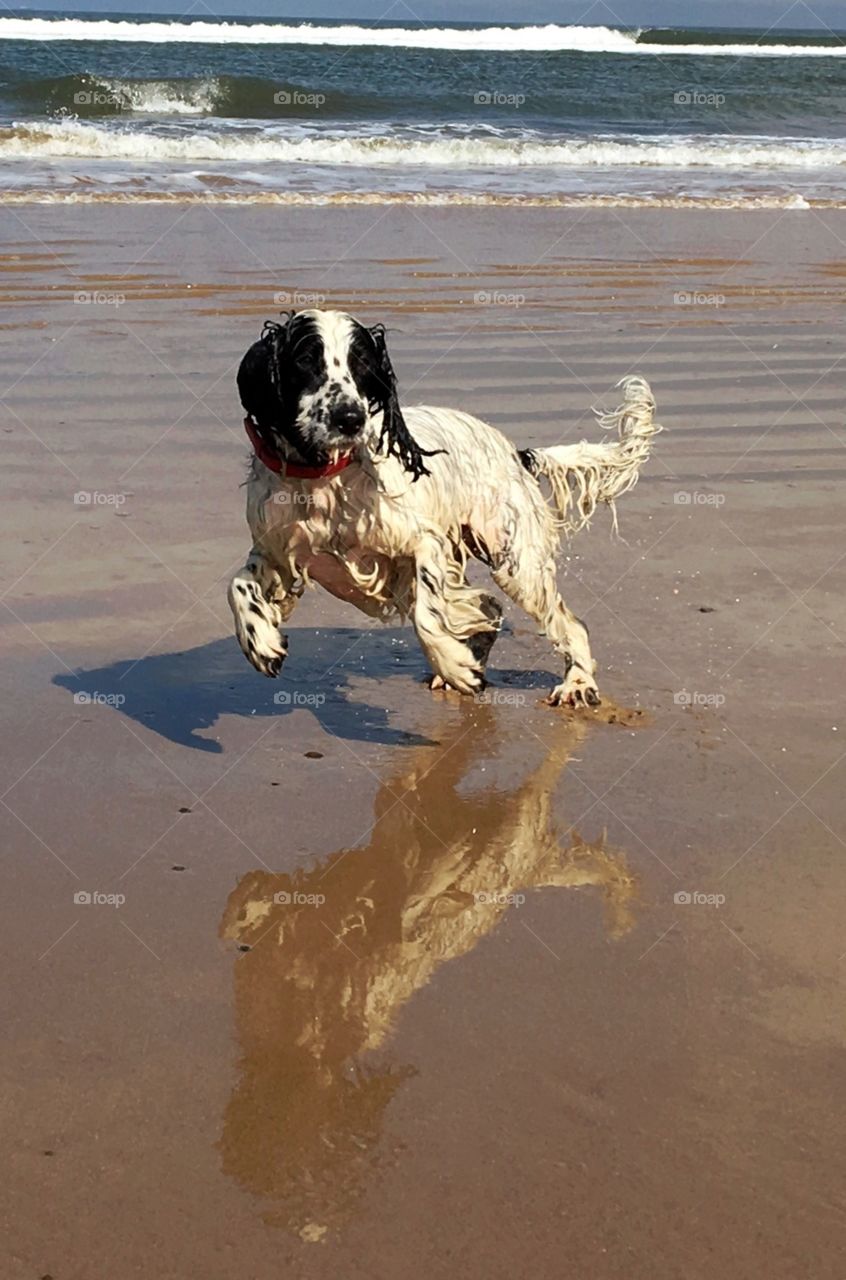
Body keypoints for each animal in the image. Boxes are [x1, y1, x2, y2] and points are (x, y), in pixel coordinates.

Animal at [227, 309, 655, 711]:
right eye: (305, 359)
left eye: (361, 362)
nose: (349, 418)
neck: (323, 478)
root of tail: (514, 452)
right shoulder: (276, 554)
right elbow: (239, 585)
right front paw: (260, 642)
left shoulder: (425, 544)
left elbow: (428, 617)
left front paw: (454, 665)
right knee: (488, 607)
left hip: (516, 567)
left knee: (567, 624)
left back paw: (576, 683)